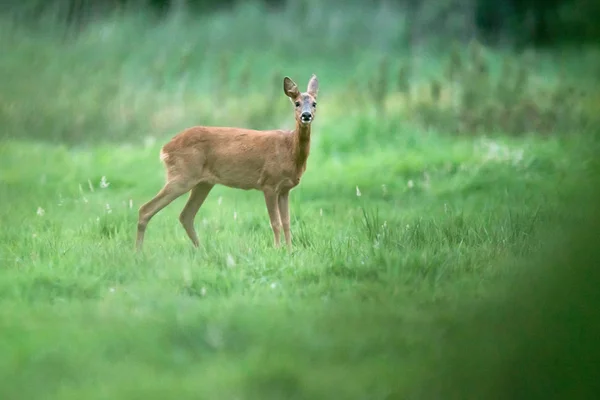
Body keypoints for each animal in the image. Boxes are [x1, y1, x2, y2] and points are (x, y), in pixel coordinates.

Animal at [137, 73, 322, 252]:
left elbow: (287, 222)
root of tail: (165, 148)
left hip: (203, 183)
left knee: (186, 215)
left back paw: (201, 250)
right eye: (297, 103)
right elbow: (275, 223)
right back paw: (138, 252)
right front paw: (277, 250)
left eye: (314, 103)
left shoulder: (284, 189)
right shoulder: (268, 183)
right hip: (182, 175)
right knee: (145, 209)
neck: (289, 150)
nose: (306, 115)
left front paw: (290, 251)